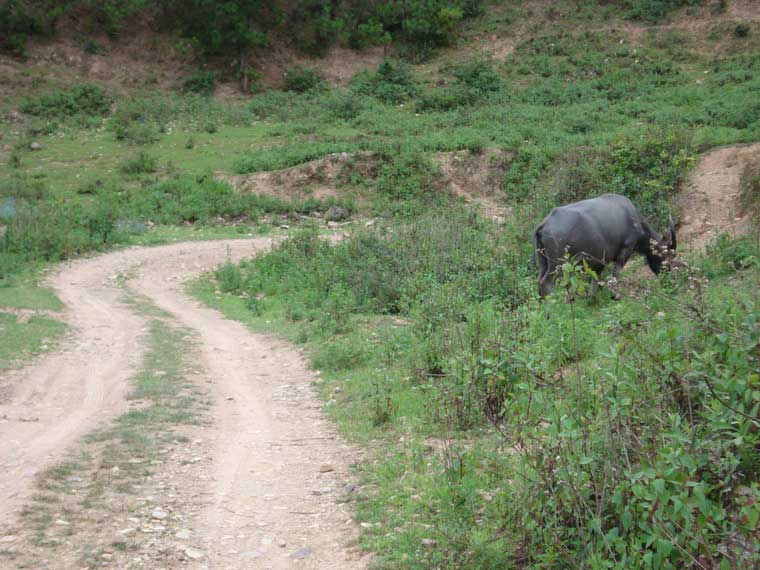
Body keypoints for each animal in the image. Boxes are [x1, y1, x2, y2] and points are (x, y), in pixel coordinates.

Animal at [536, 192, 676, 296]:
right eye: (669, 256)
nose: (671, 280)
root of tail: (545, 224)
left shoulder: (600, 260)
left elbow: (596, 279)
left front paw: (592, 297)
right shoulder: (626, 249)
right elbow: (616, 274)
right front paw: (616, 295)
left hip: (544, 262)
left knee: (539, 281)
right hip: (558, 263)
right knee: (546, 284)